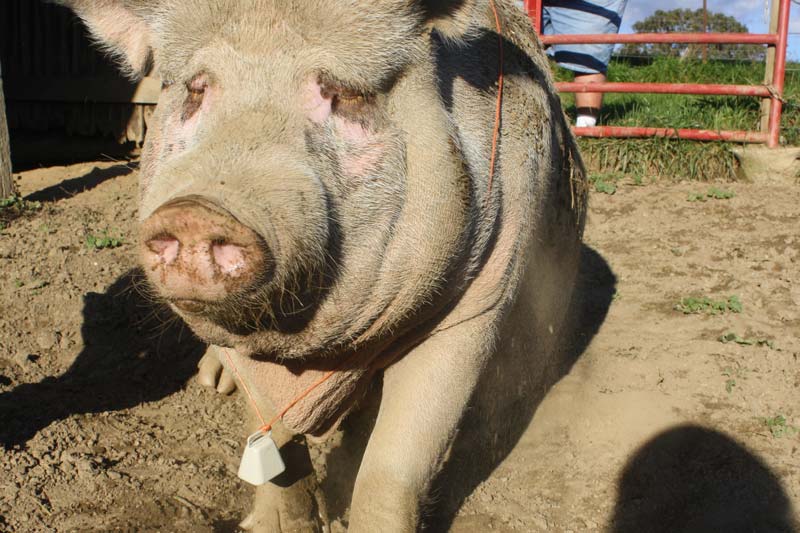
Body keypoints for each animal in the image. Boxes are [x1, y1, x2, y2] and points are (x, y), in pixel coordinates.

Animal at [60, 0, 588, 530]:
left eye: (344, 93)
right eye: (196, 90)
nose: (197, 211)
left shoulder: (476, 305)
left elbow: (393, 468)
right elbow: (273, 444)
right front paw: (269, 522)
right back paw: (212, 383)